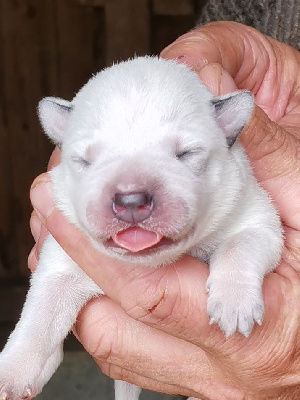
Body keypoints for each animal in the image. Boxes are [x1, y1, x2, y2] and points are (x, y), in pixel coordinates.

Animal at [0, 57, 282, 400]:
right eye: (84, 161)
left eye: (186, 154)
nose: (131, 199)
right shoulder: (62, 259)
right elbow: (41, 312)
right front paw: (12, 371)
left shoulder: (257, 217)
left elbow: (241, 244)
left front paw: (233, 302)